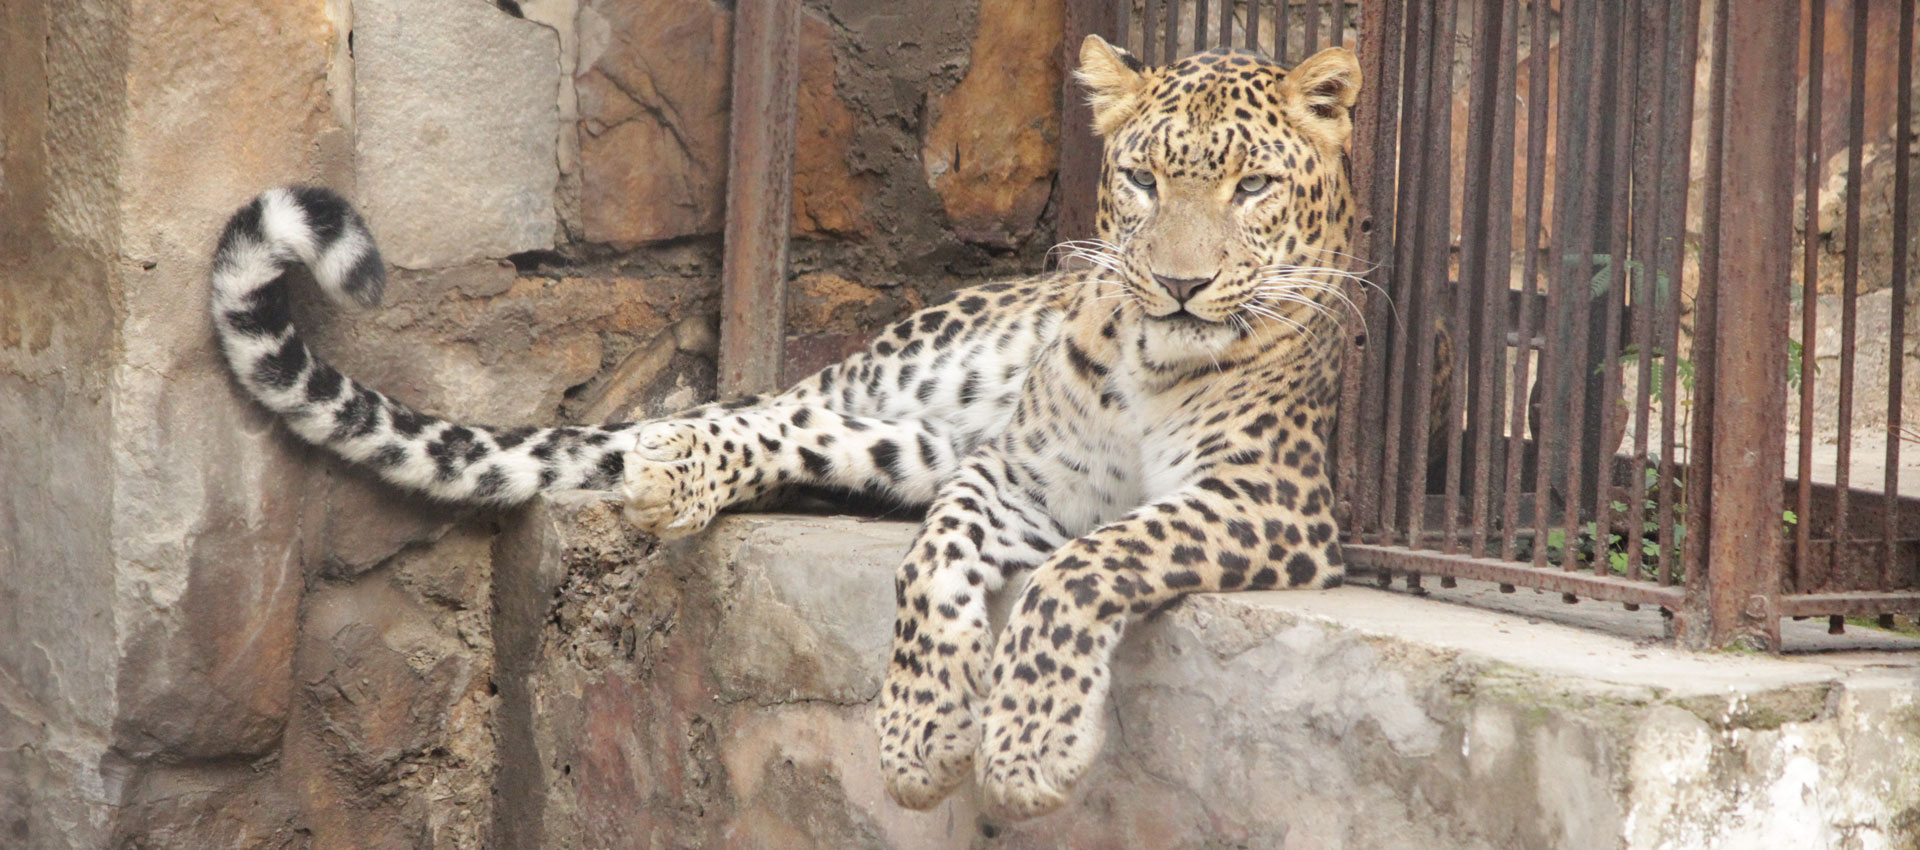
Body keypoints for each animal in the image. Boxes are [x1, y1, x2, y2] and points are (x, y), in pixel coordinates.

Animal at [208, 36, 1363, 821]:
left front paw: (1024, 749)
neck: (1147, 368)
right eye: (1142, 178)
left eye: (1252, 186)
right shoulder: (1016, 475)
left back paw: (664, 467)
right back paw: (667, 462)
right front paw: (919, 736)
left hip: (910, 441)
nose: (1178, 285)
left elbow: (1085, 563)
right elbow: (932, 559)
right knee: (771, 407)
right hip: (903, 393)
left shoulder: (1273, 504)